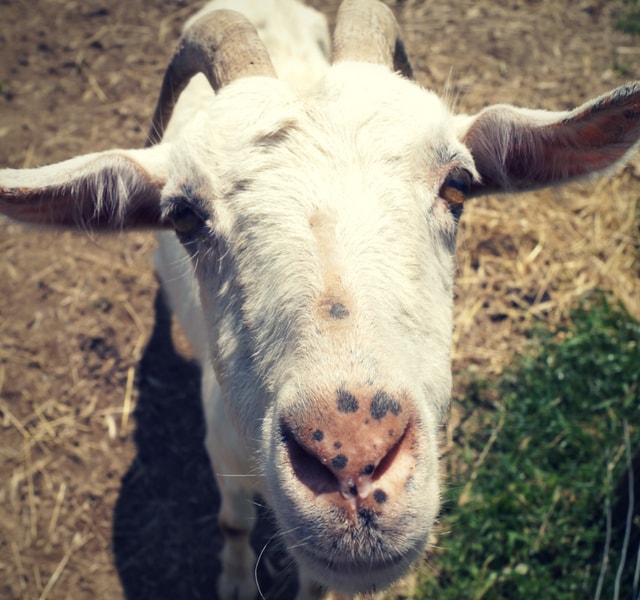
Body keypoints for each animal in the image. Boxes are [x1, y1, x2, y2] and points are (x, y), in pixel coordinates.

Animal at [1, 0, 640, 596]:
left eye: (457, 184)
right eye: (183, 215)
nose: (352, 456)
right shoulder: (221, 449)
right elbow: (233, 524)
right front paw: (234, 583)